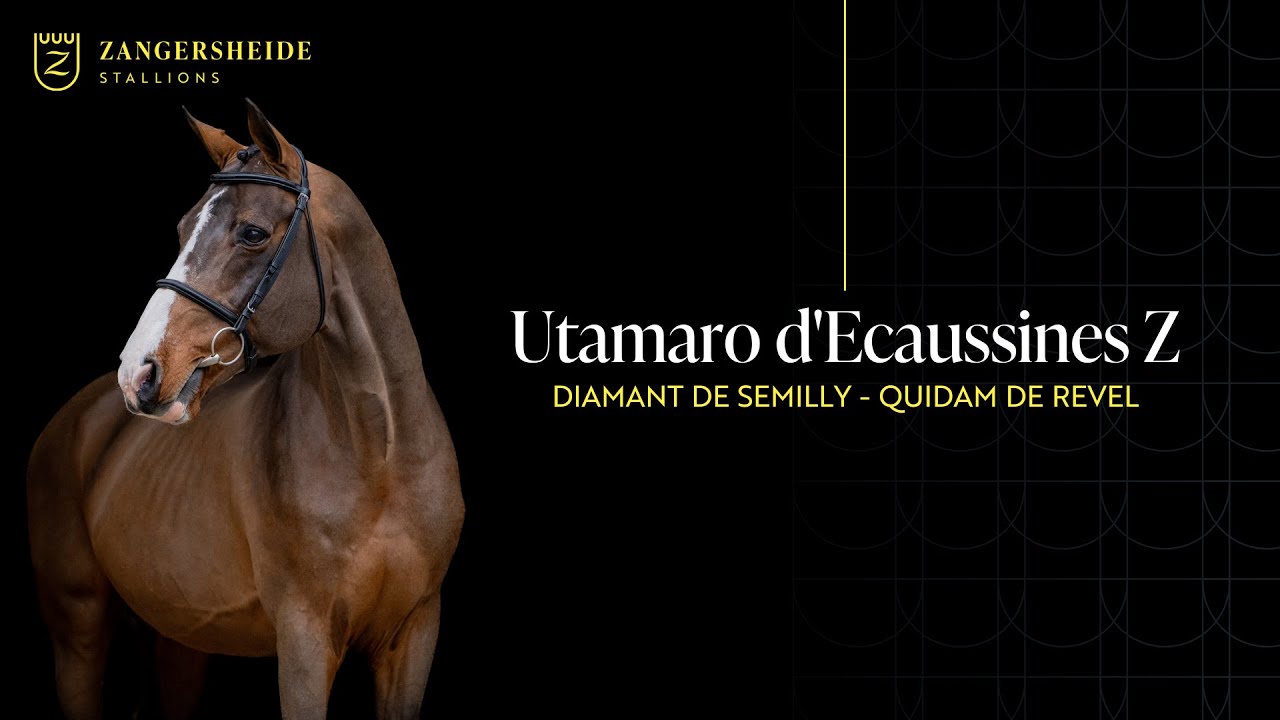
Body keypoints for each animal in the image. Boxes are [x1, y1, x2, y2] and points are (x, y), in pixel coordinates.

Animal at [27, 100, 464, 719]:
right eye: (182, 228)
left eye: (252, 233)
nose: (138, 371)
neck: (382, 454)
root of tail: (78, 417)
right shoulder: (305, 638)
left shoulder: (414, 634)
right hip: (78, 632)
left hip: (180, 638)